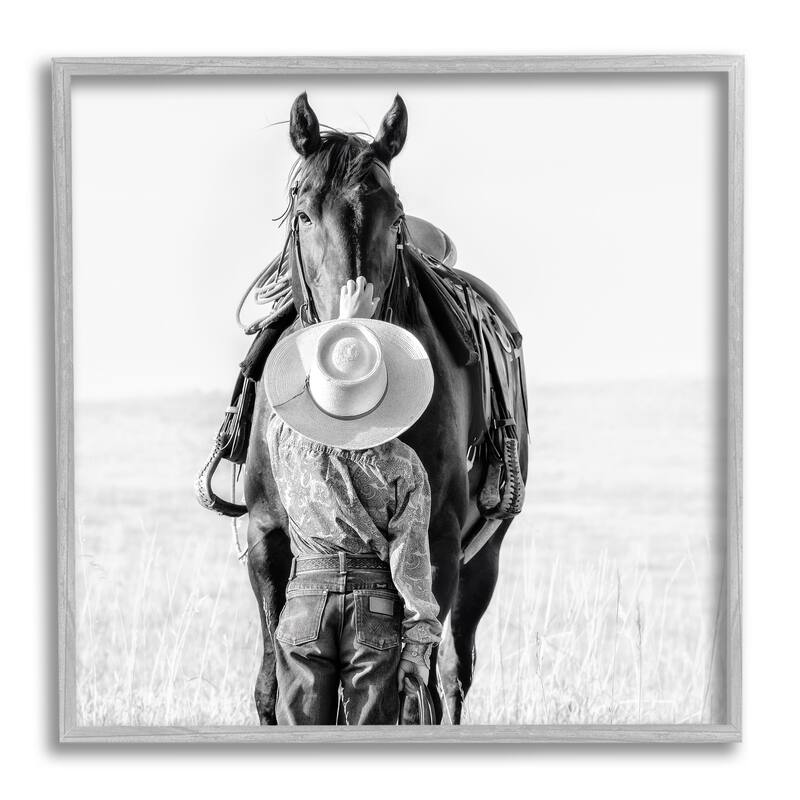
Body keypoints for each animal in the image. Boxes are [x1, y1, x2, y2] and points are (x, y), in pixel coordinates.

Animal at [243, 92, 529, 724]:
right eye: (303, 213)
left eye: (394, 217)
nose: (352, 343)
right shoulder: (265, 535)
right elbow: (273, 688)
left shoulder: (437, 543)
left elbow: (415, 688)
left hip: (483, 559)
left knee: (451, 677)